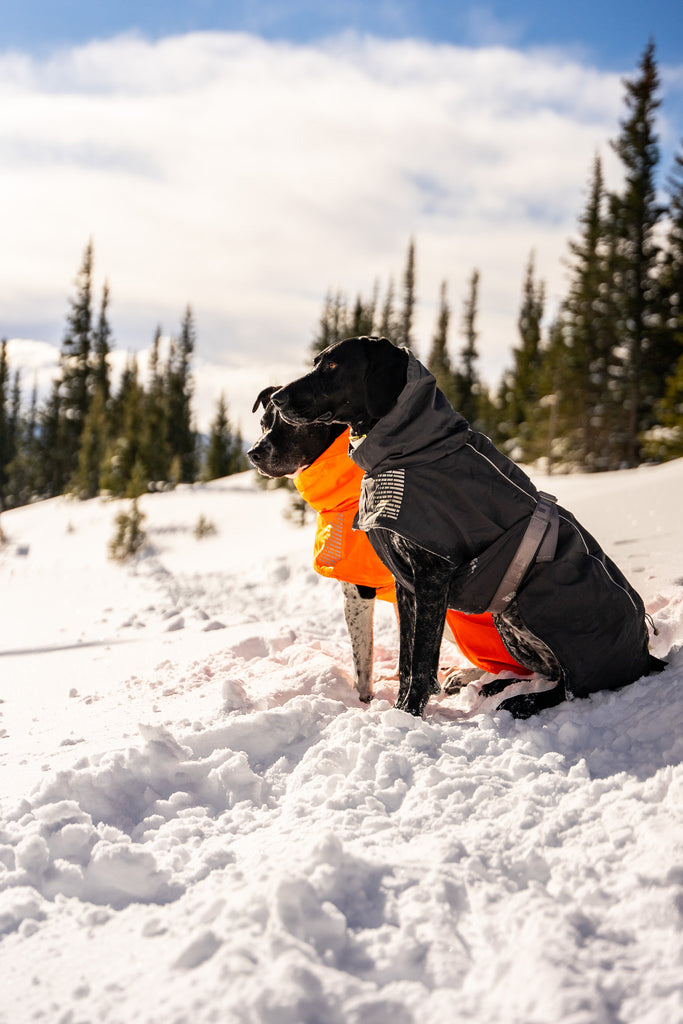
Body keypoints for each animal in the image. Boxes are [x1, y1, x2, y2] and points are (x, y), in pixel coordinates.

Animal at [272, 337, 663, 720]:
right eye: (316, 361)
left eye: (332, 365)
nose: (277, 398)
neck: (411, 450)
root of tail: (645, 654)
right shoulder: (406, 584)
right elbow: (407, 659)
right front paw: (398, 711)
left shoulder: (432, 575)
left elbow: (421, 661)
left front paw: (409, 715)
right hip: (507, 619)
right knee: (548, 672)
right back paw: (496, 686)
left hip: (534, 605)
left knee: (570, 685)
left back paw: (523, 702)